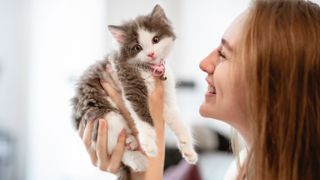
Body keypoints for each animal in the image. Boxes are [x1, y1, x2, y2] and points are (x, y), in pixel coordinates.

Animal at [71, 3, 198, 177]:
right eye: (138, 47)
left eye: (155, 40)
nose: (151, 53)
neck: (151, 70)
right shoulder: (129, 81)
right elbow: (143, 114)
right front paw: (149, 143)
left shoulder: (166, 97)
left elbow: (178, 120)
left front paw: (188, 149)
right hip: (101, 115)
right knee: (114, 149)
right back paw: (137, 158)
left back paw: (131, 141)